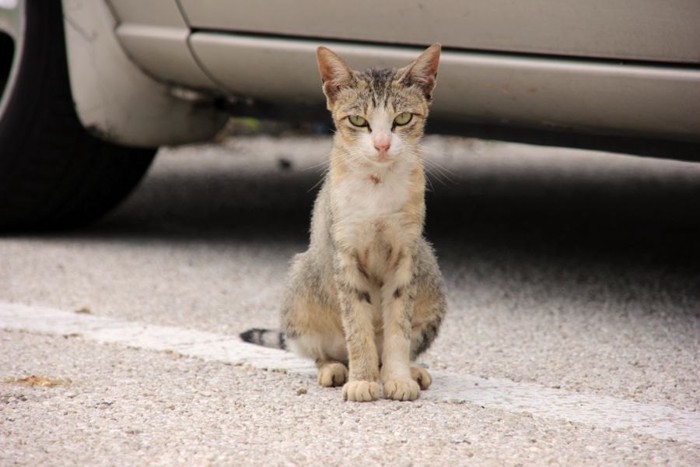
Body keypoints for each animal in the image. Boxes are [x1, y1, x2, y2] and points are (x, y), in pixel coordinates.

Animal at [243, 44, 446, 402]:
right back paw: (336, 369)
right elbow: (357, 327)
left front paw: (398, 377)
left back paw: (409, 370)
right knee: (322, 351)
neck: (378, 185)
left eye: (402, 118)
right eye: (358, 120)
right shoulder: (345, 254)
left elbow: (398, 327)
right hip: (302, 283)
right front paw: (362, 380)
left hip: (430, 271)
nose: (382, 144)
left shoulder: (406, 255)